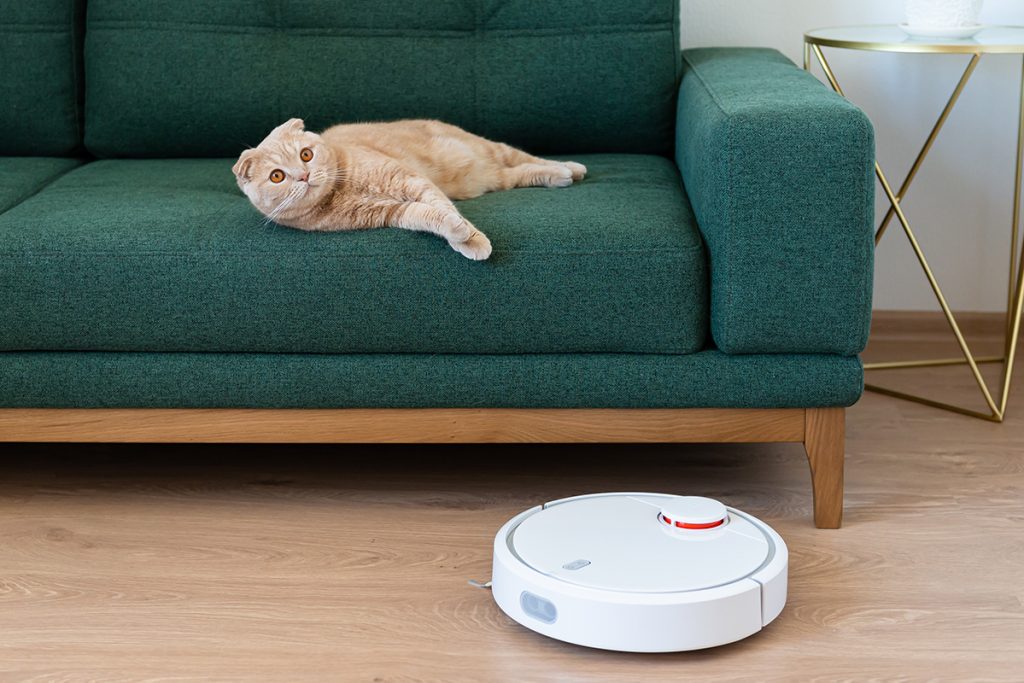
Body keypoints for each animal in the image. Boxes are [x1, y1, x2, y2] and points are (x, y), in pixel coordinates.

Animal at [231, 117, 585, 259]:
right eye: (278, 176)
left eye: (306, 155)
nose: (303, 175)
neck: (341, 189)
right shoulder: (392, 212)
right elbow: (428, 215)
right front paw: (460, 233)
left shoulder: (409, 179)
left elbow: (440, 204)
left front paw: (470, 236)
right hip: (496, 177)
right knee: (521, 172)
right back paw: (560, 174)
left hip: (491, 149)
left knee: (525, 157)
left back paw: (570, 168)